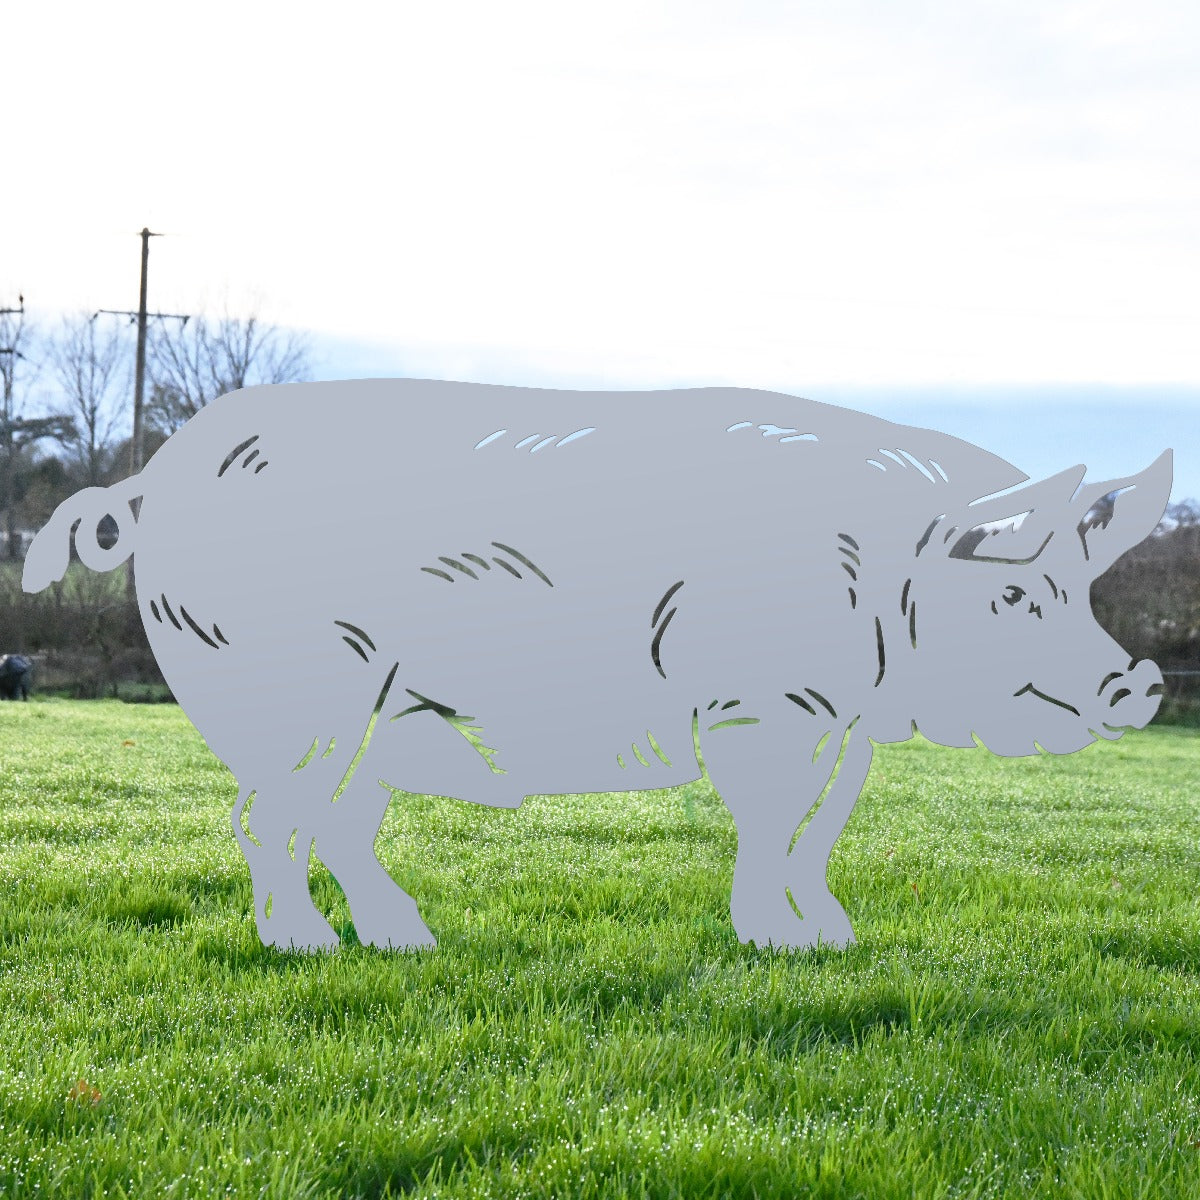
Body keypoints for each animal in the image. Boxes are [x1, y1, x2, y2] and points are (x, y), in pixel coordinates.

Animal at [22, 380, 1171, 952]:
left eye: (1080, 590)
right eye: (1016, 595)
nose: (1141, 682)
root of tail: (153, 482)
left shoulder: (837, 719)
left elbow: (818, 829)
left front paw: (833, 944)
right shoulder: (759, 699)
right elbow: (768, 824)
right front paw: (780, 947)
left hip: (389, 713)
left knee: (336, 826)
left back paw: (407, 946)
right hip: (301, 691)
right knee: (267, 820)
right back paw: (305, 950)